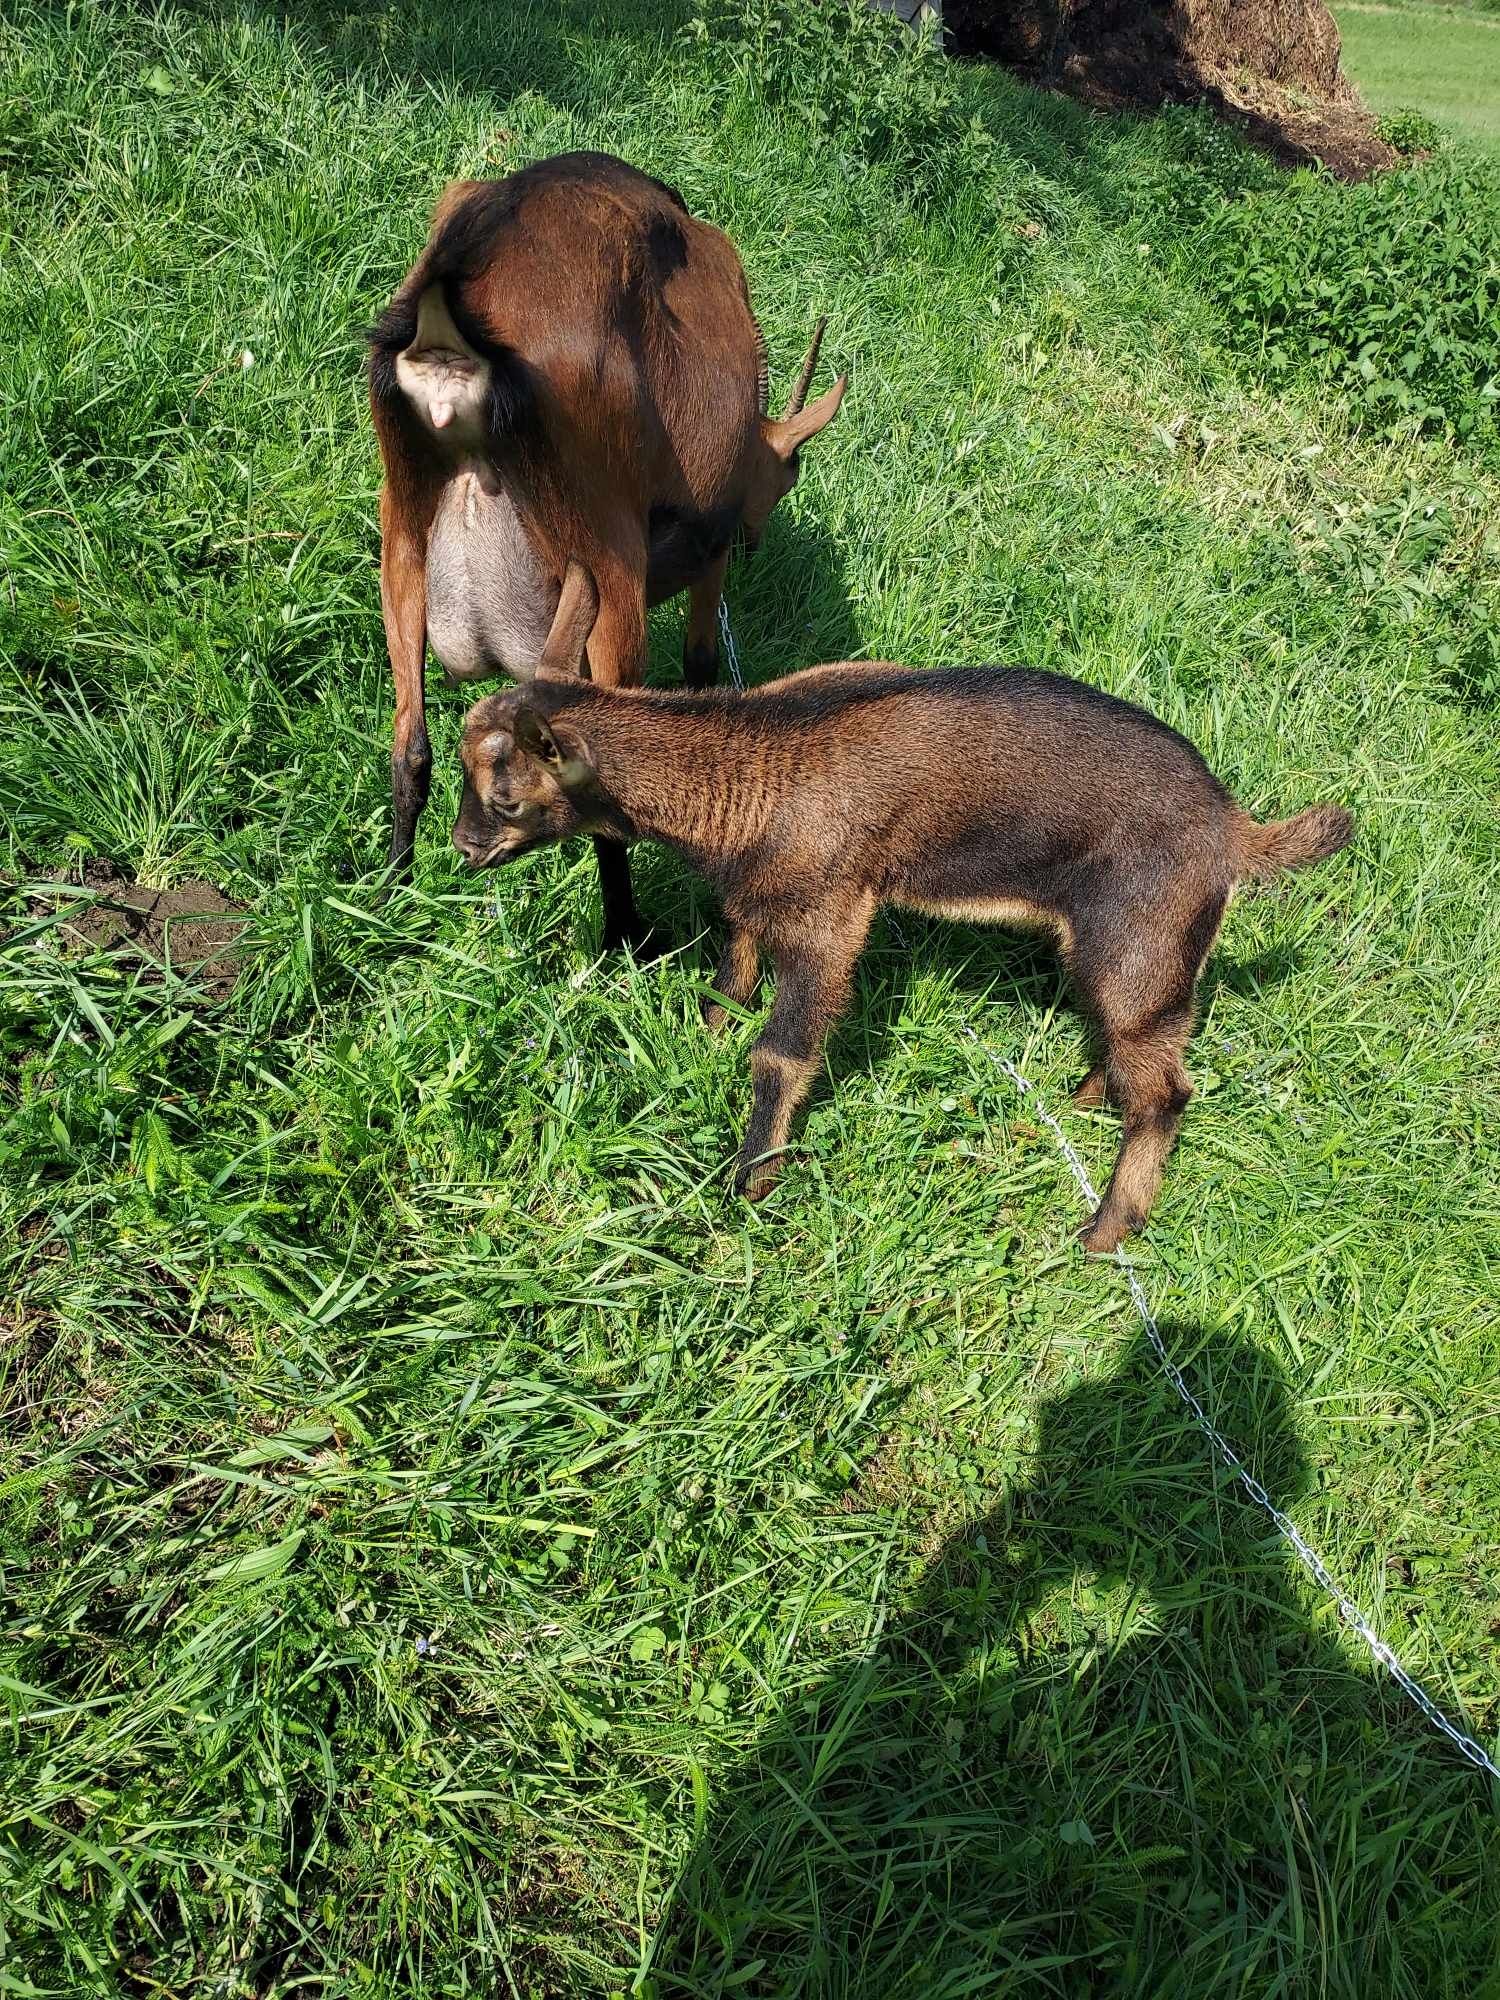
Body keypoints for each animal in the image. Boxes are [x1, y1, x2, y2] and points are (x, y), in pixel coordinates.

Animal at [368, 148, 848, 944]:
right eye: (793, 472)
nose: (755, 540)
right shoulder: (705, 551)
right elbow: (701, 663)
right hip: (608, 564)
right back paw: (629, 935)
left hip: (402, 535)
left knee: (410, 746)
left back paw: (393, 896)